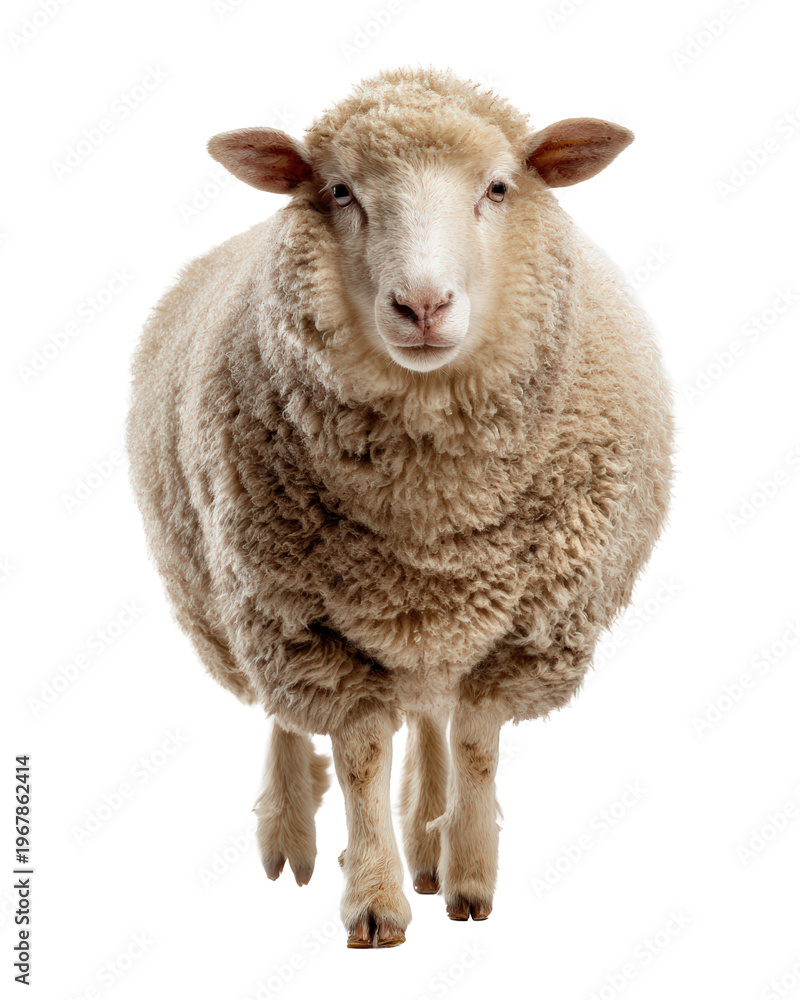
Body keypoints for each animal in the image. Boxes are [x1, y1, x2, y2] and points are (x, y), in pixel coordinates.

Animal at [126, 66, 674, 949]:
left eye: (498, 187)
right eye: (340, 191)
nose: (422, 306)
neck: (433, 519)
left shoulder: (522, 632)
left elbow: (476, 743)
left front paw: (468, 878)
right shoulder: (306, 627)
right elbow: (357, 757)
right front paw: (375, 900)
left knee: (427, 718)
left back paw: (427, 842)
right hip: (236, 601)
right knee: (286, 719)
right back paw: (291, 837)